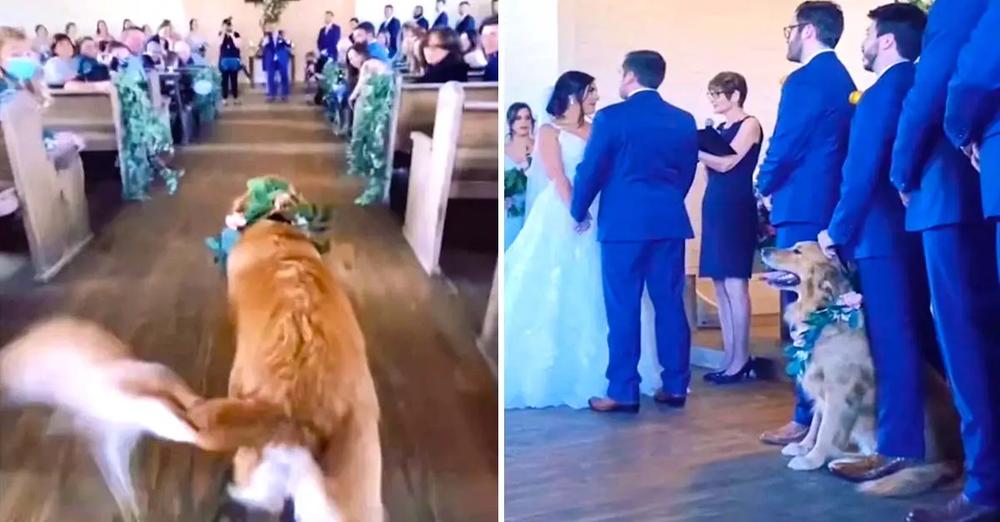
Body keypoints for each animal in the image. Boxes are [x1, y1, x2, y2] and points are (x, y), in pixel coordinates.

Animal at [760, 242, 964, 494]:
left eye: (797, 251)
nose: (763, 250)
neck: (822, 310)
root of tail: (953, 459)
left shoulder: (838, 390)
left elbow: (825, 429)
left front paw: (812, 458)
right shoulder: (820, 386)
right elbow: (816, 422)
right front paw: (804, 446)